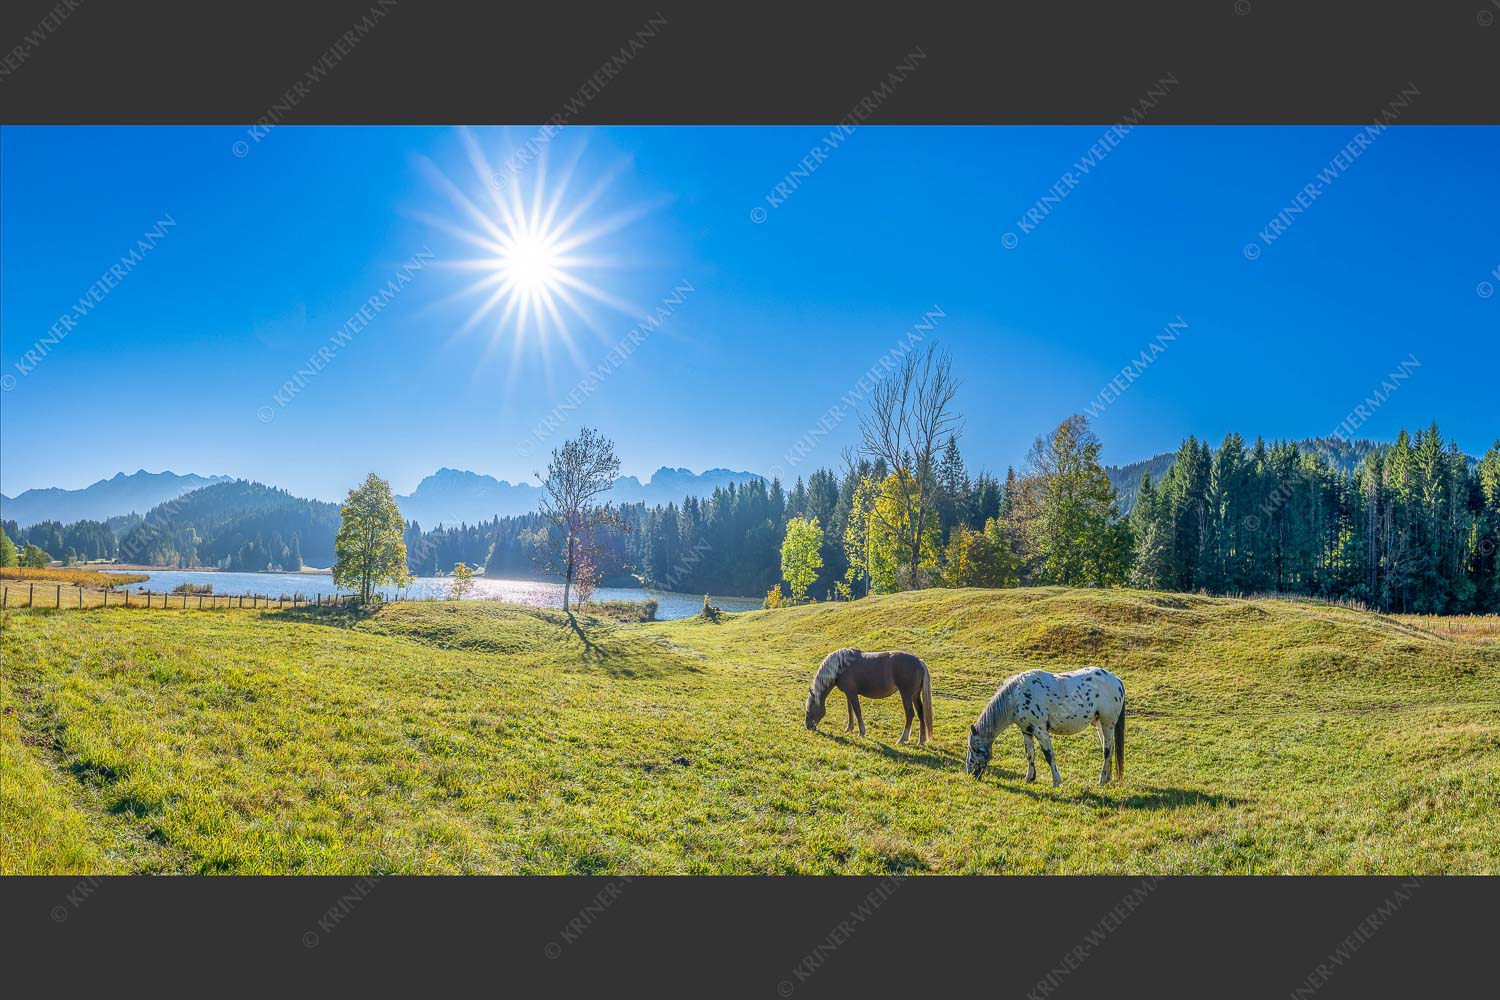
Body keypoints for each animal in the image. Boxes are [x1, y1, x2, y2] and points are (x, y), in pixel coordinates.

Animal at [804, 647, 934, 746]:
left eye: (808, 710)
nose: (808, 726)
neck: (841, 666)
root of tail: (919, 662)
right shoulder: (848, 693)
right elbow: (850, 710)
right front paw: (849, 728)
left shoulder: (852, 693)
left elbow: (857, 711)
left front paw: (861, 732)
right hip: (915, 695)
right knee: (920, 714)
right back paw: (921, 741)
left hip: (906, 695)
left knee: (910, 714)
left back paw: (902, 739)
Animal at [964, 667, 1125, 786]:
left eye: (976, 749)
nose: (970, 774)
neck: (1016, 697)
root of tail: (1117, 680)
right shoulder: (1026, 731)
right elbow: (1030, 754)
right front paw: (1029, 778)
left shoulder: (1040, 731)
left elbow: (1049, 755)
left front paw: (1056, 782)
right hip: (1099, 725)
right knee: (1109, 749)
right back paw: (1107, 778)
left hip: (1107, 725)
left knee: (1107, 751)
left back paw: (1101, 780)